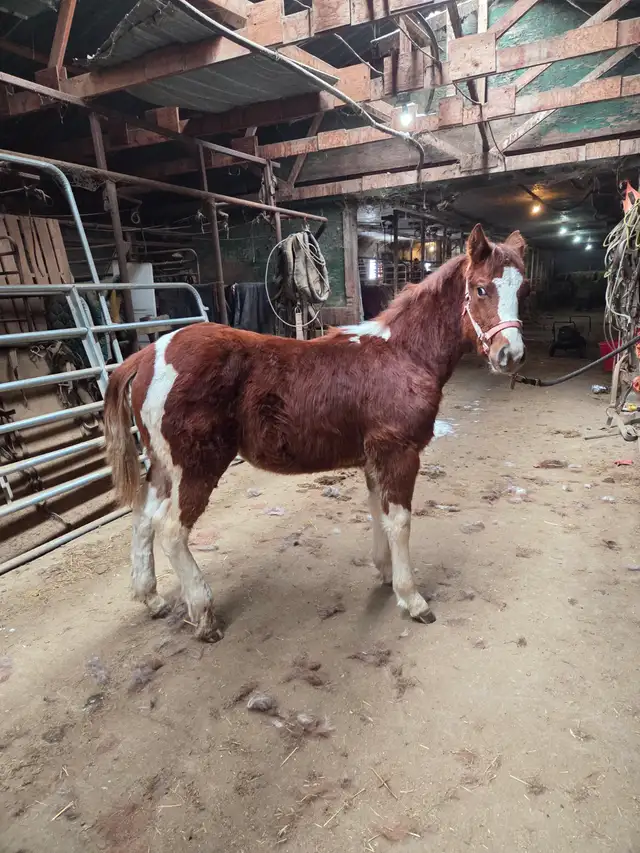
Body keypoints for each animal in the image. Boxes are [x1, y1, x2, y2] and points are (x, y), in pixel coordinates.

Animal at [104, 224, 527, 641]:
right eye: (481, 288)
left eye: (521, 289)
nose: (511, 355)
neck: (404, 355)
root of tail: (148, 355)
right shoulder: (399, 452)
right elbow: (400, 522)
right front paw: (412, 598)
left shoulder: (374, 457)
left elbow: (377, 511)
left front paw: (386, 574)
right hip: (196, 466)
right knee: (171, 529)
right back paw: (204, 615)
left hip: (162, 466)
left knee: (143, 517)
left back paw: (151, 598)